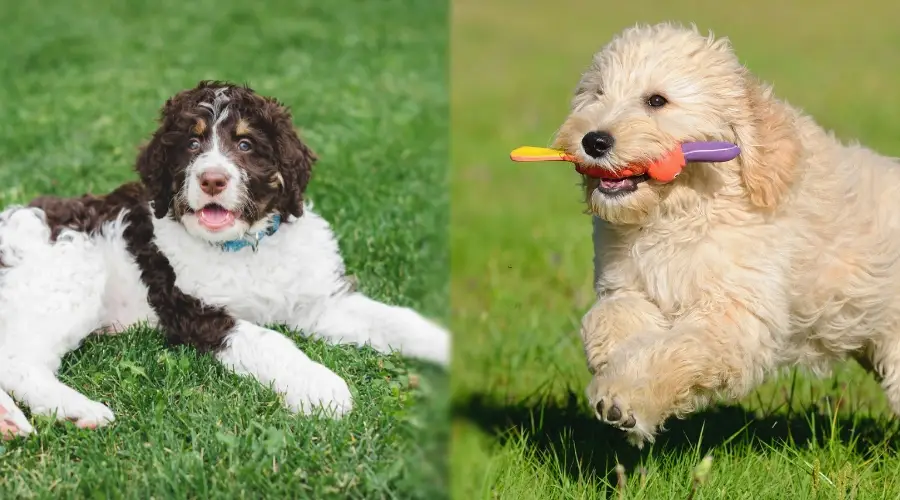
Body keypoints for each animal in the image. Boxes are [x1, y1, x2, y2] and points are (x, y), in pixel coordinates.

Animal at [556, 21, 900, 448]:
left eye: (656, 100)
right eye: (597, 94)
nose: (594, 140)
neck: (678, 213)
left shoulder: (737, 315)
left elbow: (680, 349)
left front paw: (627, 395)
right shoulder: (628, 283)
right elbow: (607, 316)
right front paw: (612, 358)